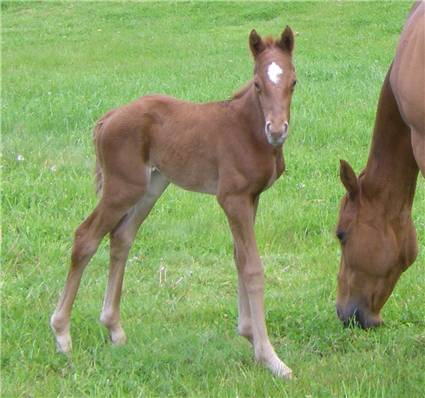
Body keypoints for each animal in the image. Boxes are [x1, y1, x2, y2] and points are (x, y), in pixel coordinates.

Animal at [51, 28, 296, 380]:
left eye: (293, 82)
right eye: (258, 84)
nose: (276, 131)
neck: (247, 129)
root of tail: (107, 118)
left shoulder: (252, 197)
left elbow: (239, 258)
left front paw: (249, 335)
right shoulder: (232, 198)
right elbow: (252, 267)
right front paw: (270, 357)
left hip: (151, 187)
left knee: (121, 237)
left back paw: (114, 329)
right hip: (121, 188)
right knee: (85, 237)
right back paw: (62, 334)